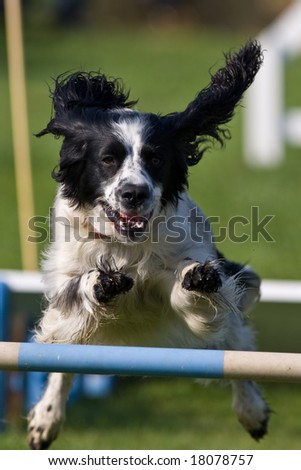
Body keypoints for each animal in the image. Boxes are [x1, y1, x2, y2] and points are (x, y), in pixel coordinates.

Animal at [27, 42, 270, 450]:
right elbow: (75, 297)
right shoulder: (65, 283)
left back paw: (252, 410)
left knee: (237, 347)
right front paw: (103, 283)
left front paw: (197, 278)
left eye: (155, 158)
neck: (126, 245)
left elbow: (191, 289)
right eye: (108, 159)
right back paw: (46, 420)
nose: (134, 193)